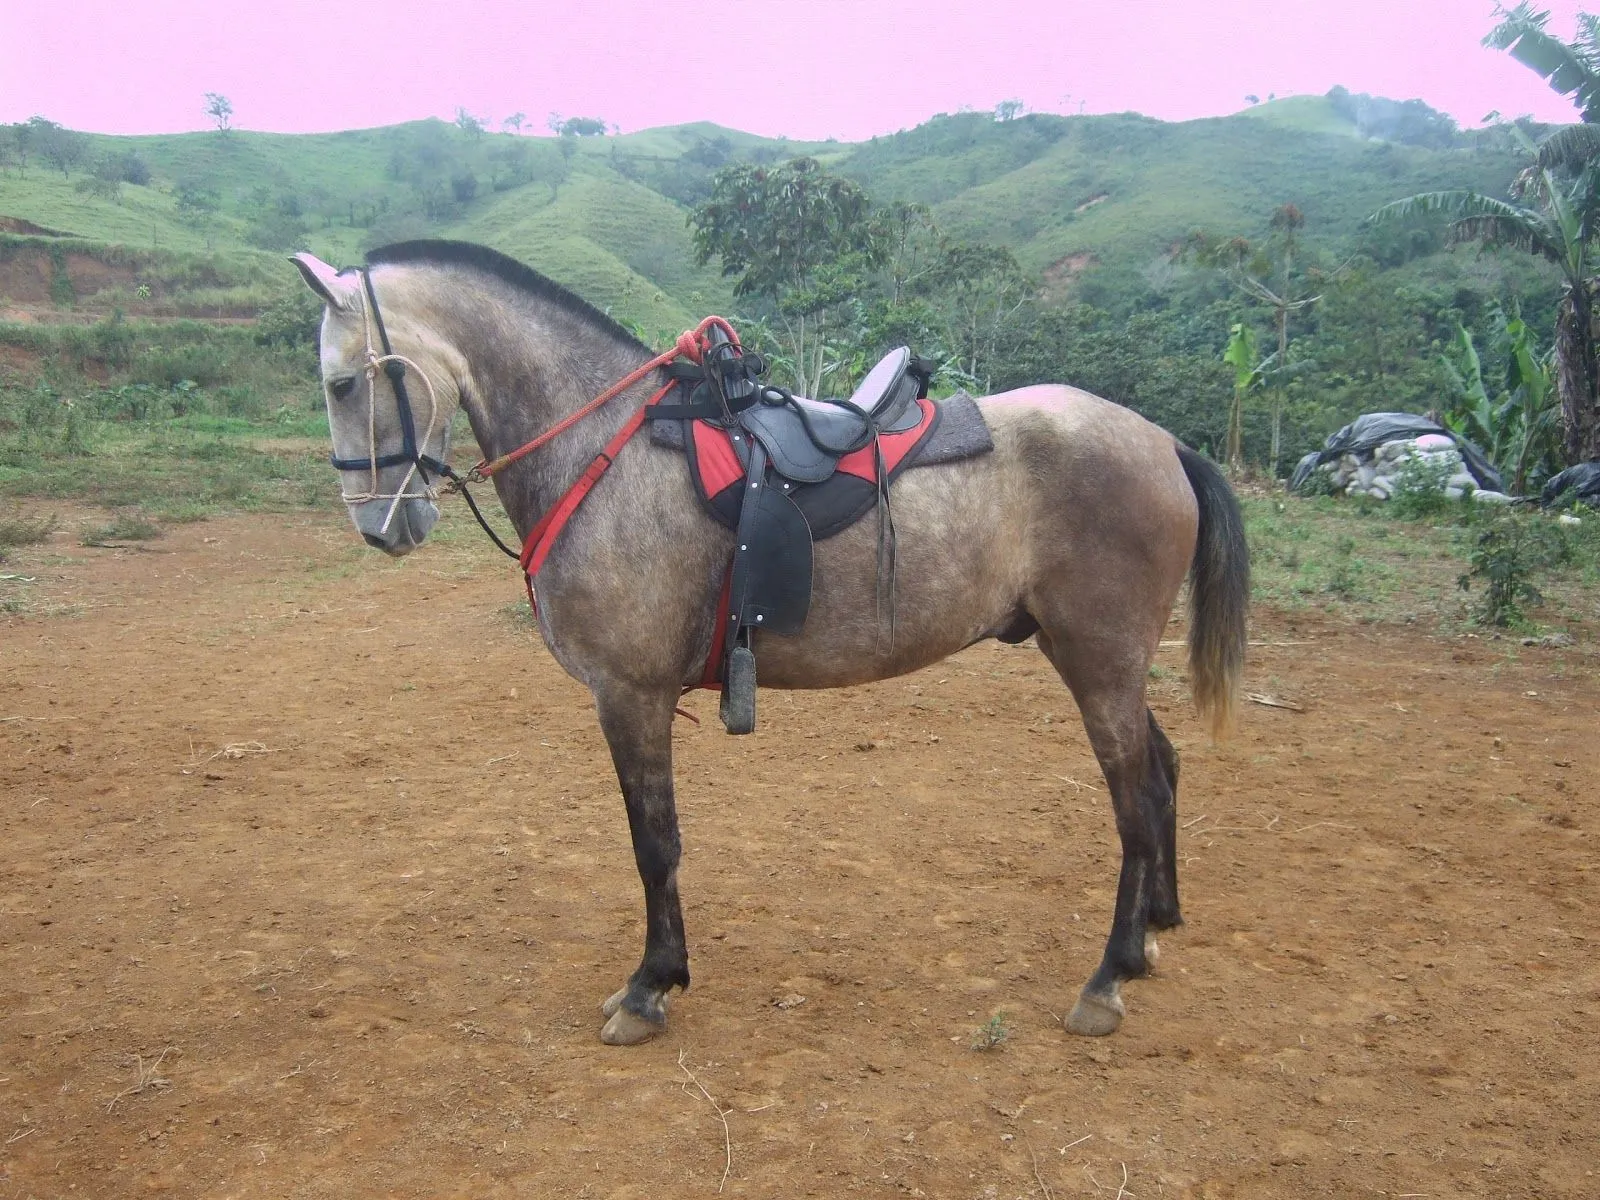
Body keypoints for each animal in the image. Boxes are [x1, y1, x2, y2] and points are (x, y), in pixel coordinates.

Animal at [294, 240, 1254, 1049]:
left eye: (342, 385)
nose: (382, 526)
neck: (604, 451)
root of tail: (1163, 442)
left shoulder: (631, 695)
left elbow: (654, 844)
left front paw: (651, 985)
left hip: (1099, 659)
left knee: (1136, 800)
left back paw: (1107, 978)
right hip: (1092, 657)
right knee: (1163, 768)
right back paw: (1154, 931)